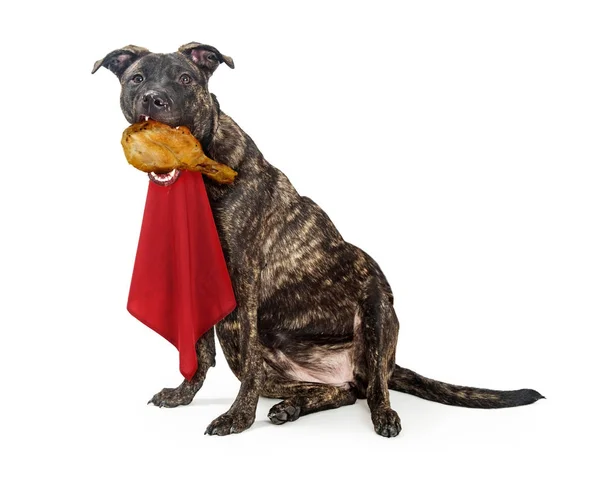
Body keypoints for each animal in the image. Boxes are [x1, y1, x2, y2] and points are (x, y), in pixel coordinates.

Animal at [92, 42, 544, 438]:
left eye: (186, 79)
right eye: (136, 79)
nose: (154, 99)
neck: (198, 172)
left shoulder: (243, 282)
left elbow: (240, 366)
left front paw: (237, 419)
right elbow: (199, 352)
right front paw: (184, 395)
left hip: (377, 309)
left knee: (373, 389)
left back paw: (382, 415)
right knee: (337, 392)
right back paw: (292, 406)